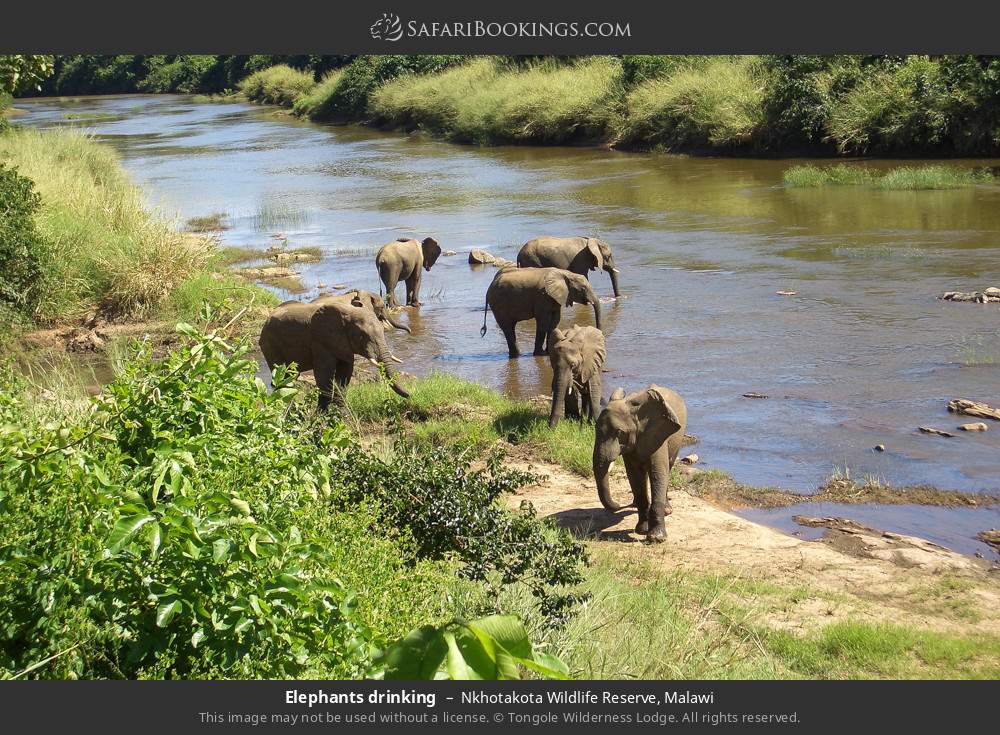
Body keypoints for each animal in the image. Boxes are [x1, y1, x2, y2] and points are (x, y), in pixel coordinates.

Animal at [258, 292, 410, 411]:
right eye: (362, 336)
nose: (409, 395)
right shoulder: (320, 340)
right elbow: (324, 375)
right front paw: (323, 416)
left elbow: (345, 373)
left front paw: (341, 413)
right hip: (270, 345)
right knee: (282, 377)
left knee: (290, 376)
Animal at [592, 384, 688, 542]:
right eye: (595, 430)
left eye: (620, 433)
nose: (618, 504)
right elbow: (635, 476)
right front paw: (642, 531)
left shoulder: (657, 435)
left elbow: (658, 474)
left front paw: (656, 538)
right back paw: (635, 504)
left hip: (678, 440)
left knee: (668, 467)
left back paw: (667, 511)